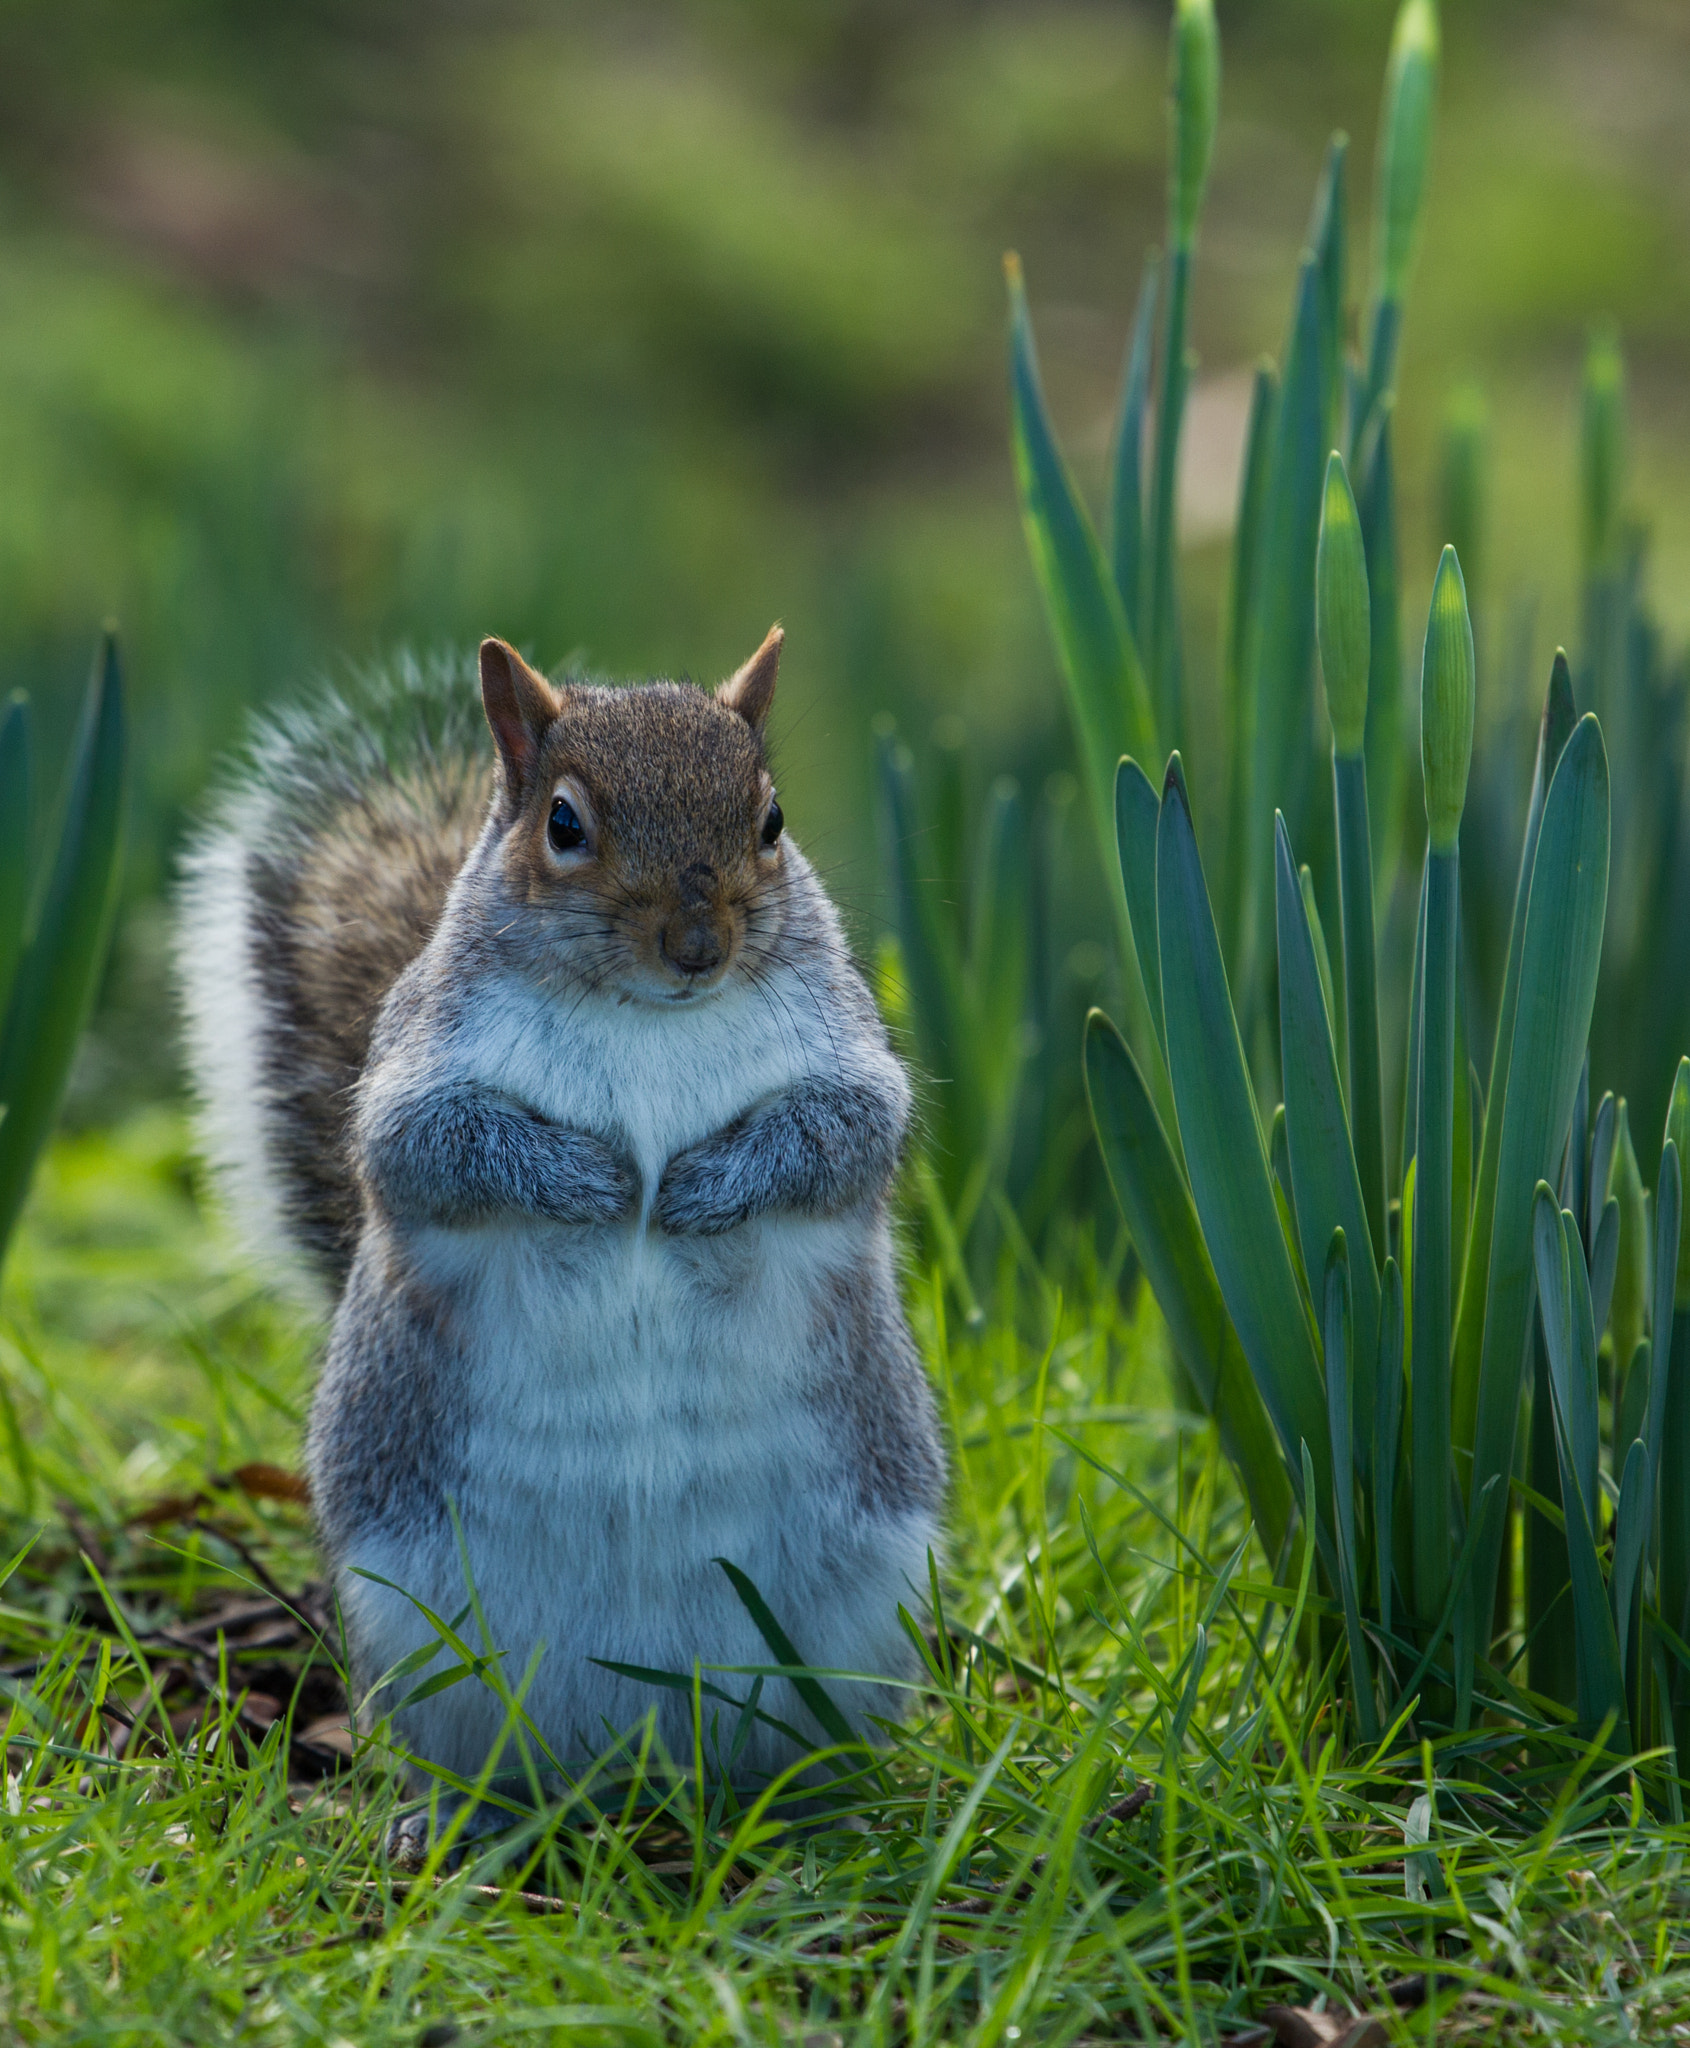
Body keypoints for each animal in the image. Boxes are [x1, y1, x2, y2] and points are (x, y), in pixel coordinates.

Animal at [176, 626, 942, 1843]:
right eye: (565, 826)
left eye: (771, 821)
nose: (697, 946)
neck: (648, 1016)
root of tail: (643, 1757)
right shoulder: (418, 1073)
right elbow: (434, 1148)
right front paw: (595, 1181)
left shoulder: (849, 1061)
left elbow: (844, 1135)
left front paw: (696, 1188)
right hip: (422, 1631)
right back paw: (455, 1820)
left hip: (861, 1604)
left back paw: (815, 1809)